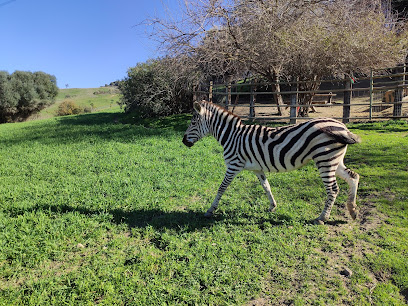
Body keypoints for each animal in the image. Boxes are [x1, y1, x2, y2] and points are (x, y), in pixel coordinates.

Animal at [182, 100, 360, 225]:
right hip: (334, 160)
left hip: (324, 160)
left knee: (333, 189)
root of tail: (343, 126)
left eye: (193, 123)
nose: (183, 142)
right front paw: (273, 206)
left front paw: (210, 210)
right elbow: (266, 187)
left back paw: (322, 218)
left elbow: (221, 187)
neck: (232, 136)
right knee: (353, 177)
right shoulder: (257, 169)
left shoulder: (233, 165)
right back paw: (352, 210)